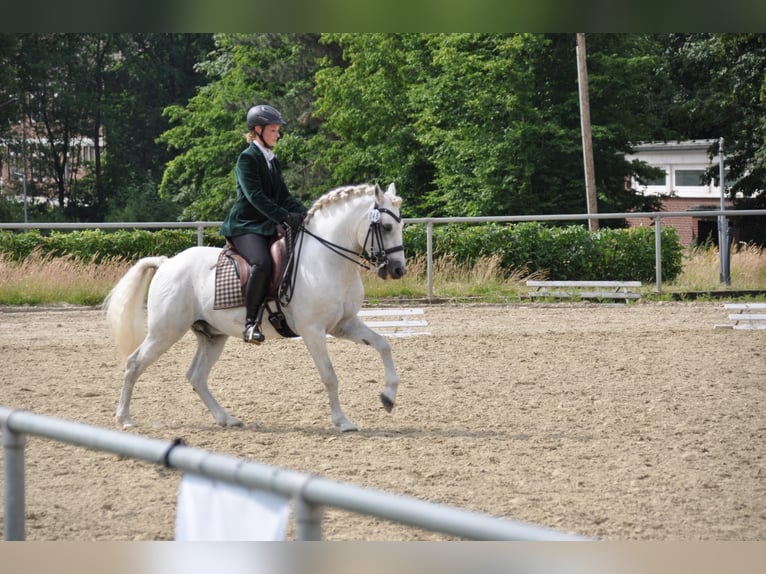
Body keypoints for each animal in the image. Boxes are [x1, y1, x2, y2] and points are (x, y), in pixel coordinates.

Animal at [104, 183, 406, 433]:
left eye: (401, 225)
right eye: (386, 227)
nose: (397, 270)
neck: (327, 260)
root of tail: (167, 262)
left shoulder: (344, 325)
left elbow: (384, 345)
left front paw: (388, 398)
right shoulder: (313, 331)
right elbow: (329, 375)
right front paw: (342, 422)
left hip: (212, 336)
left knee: (196, 376)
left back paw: (226, 419)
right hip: (166, 331)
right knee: (134, 363)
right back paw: (124, 418)